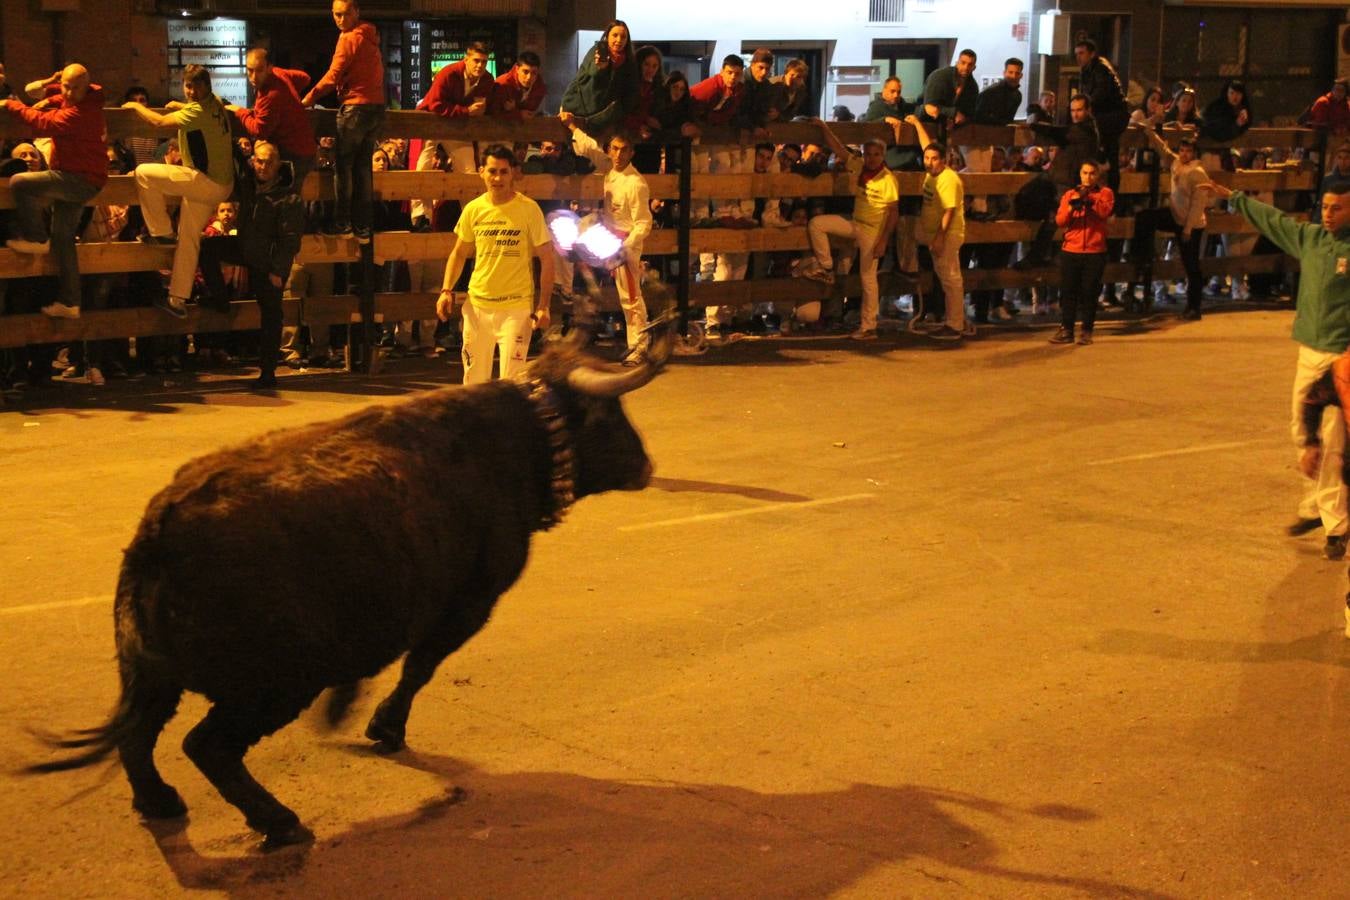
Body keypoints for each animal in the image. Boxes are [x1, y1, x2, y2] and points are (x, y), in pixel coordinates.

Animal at [22, 325, 675, 852]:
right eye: (611, 416)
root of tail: (162, 527)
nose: (646, 465)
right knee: (207, 746)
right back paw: (279, 821)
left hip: (148, 673)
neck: (517, 441)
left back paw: (159, 801)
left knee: (138, 734)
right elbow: (420, 667)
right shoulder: (468, 603)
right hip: (276, 683)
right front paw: (383, 727)